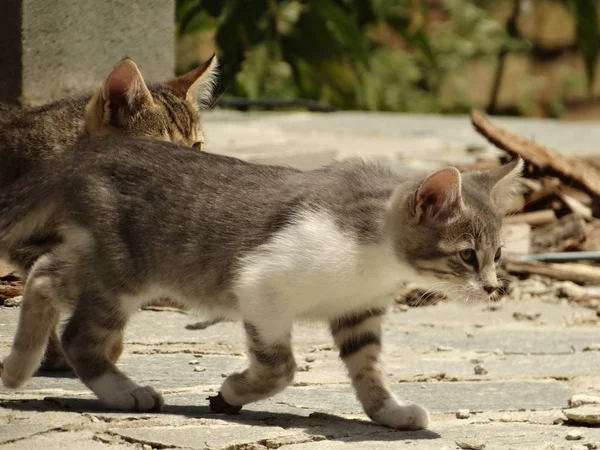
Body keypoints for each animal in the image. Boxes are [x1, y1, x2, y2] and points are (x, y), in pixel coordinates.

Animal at [0, 138, 524, 432]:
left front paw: (388, 412)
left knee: (43, 272)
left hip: (101, 261)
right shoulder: (261, 287)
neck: (376, 256)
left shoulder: (359, 312)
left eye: (497, 255)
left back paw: (18, 367)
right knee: (77, 335)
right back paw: (122, 392)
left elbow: (368, 369)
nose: (492, 288)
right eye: (467, 255)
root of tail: (92, 151)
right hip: (122, 272)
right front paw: (232, 392)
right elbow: (281, 368)